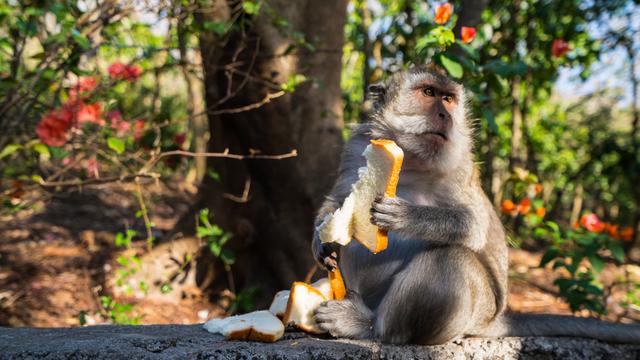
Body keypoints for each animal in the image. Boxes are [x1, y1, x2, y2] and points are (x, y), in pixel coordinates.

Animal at [312, 64, 640, 344]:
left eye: (449, 99)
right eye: (428, 93)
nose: (445, 116)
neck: (411, 158)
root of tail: (492, 320)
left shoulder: (460, 163)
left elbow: (473, 225)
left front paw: (406, 215)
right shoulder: (355, 149)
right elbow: (338, 201)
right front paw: (322, 241)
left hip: (472, 310)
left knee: (451, 259)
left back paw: (369, 327)